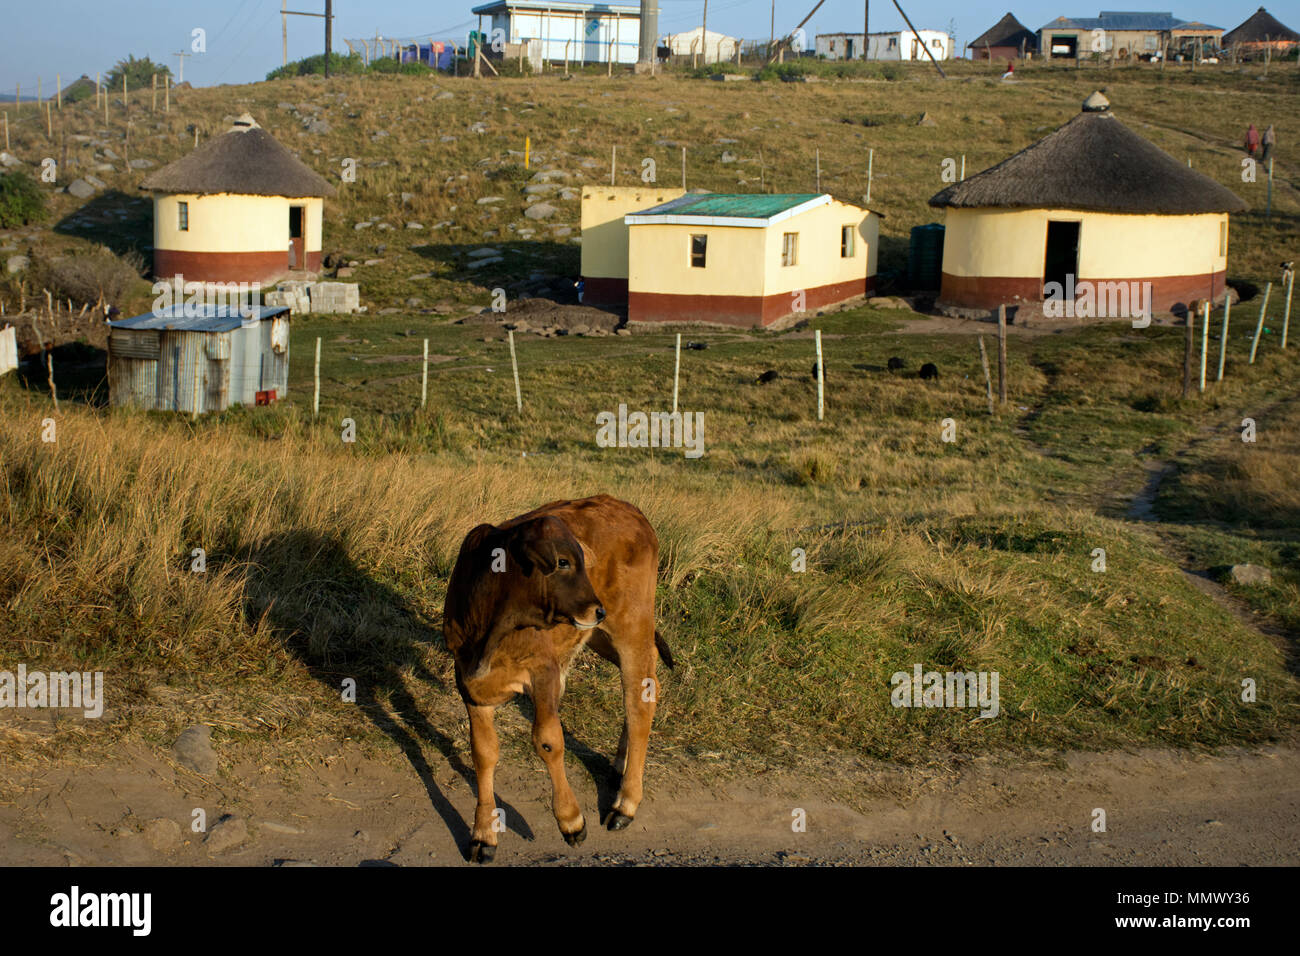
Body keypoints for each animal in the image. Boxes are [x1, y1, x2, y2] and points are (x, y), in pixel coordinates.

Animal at [442, 494, 672, 863]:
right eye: (562, 562)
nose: (597, 609)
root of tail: (628, 508)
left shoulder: (545, 671)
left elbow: (548, 741)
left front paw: (571, 820)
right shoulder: (468, 682)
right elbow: (483, 752)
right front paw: (483, 834)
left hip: (631, 625)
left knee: (639, 701)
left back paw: (625, 804)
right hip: (600, 636)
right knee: (650, 685)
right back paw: (620, 767)